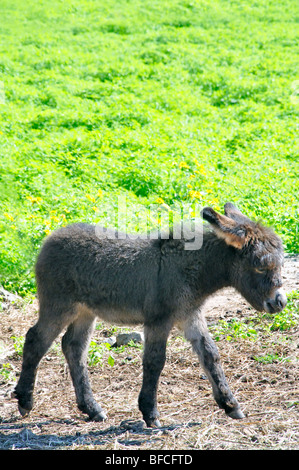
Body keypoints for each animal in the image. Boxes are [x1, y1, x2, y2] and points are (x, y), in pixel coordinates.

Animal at [14, 202, 288, 426]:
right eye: (260, 265)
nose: (280, 302)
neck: (190, 268)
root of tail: (49, 239)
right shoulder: (159, 320)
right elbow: (155, 361)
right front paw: (150, 413)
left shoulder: (190, 315)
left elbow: (210, 355)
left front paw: (231, 405)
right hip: (59, 305)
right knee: (36, 339)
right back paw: (25, 401)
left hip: (85, 312)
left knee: (73, 347)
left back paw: (92, 409)